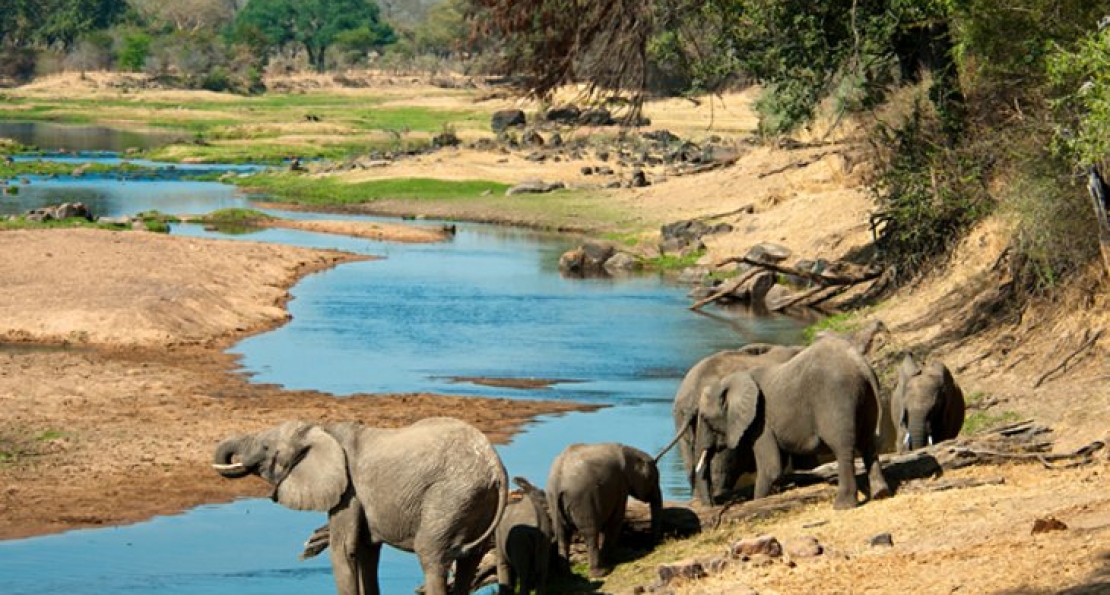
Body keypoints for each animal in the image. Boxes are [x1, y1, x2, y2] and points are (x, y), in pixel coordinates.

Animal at [209, 415, 508, 595]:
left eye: (267, 448)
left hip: (450, 496)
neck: (322, 430)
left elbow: (344, 549)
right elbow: (366, 551)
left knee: (432, 556)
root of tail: (496, 467)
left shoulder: (349, 489)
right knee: (469, 561)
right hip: (475, 502)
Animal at [543, 441, 657, 577]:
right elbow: (616, 520)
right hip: (582, 500)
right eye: (653, 478)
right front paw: (612, 559)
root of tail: (557, 482)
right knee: (590, 533)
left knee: (562, 534)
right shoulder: (621, 485)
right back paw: (601, 573)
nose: (655, 545)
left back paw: (568, 575)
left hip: (552, 500)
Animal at [683, 337, 892, 508]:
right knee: (868, 443)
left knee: (843, 447)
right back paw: (881, 493)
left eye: (705, 419)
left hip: (836, 397)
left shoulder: (761, 421)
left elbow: (771, 468)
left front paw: (758, 501)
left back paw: (843, 505)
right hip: (866, 398)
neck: (732, 379)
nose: (713, 506)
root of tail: (860, 363)